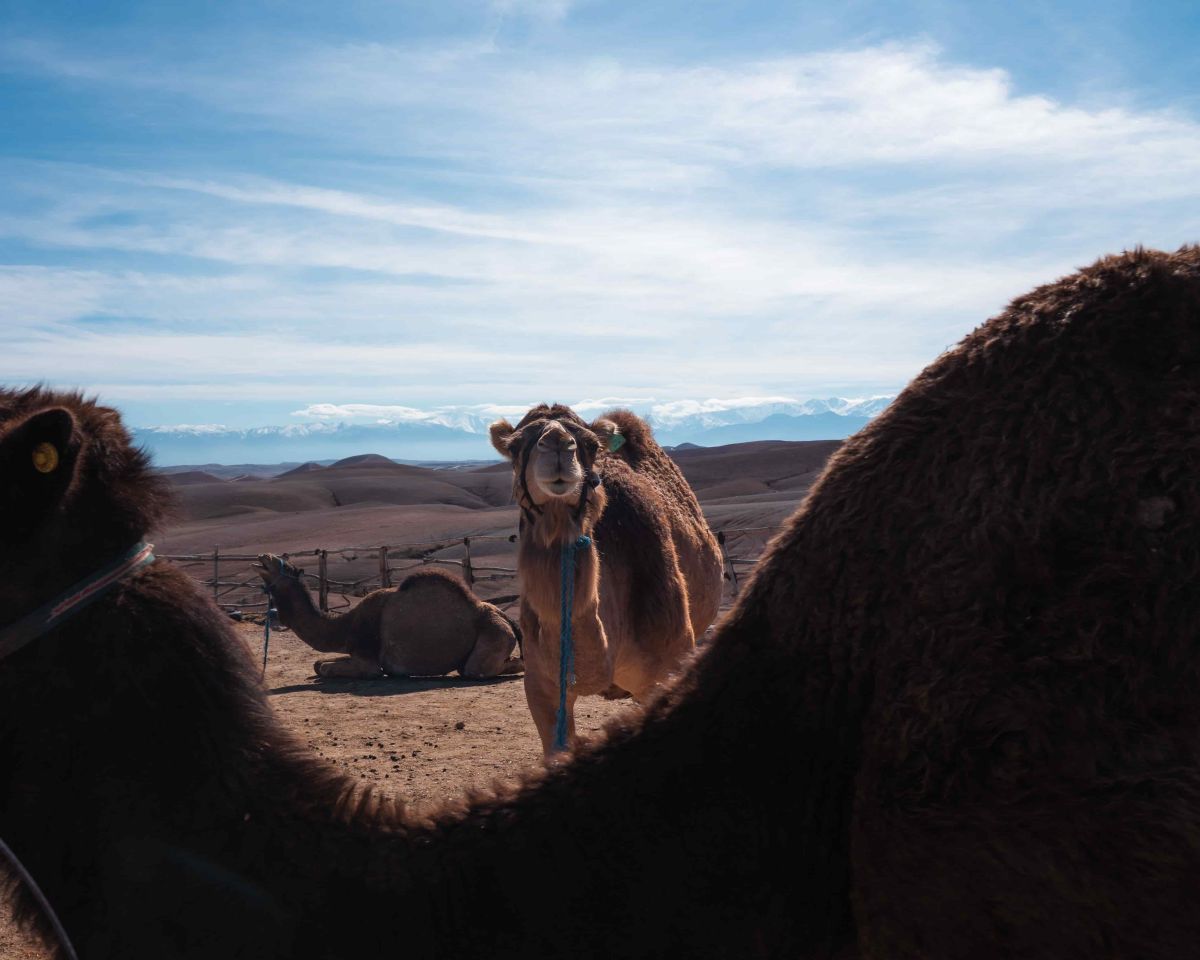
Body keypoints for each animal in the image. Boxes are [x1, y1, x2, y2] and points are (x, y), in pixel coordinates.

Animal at [253, 555, 523, 680]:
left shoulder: (368, 660)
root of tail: (507, 618)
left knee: (475, 669)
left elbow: (327, 668)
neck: (345, 625)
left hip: (495, 632)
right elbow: (317, 664)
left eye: (285, 566)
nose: (264, 557)